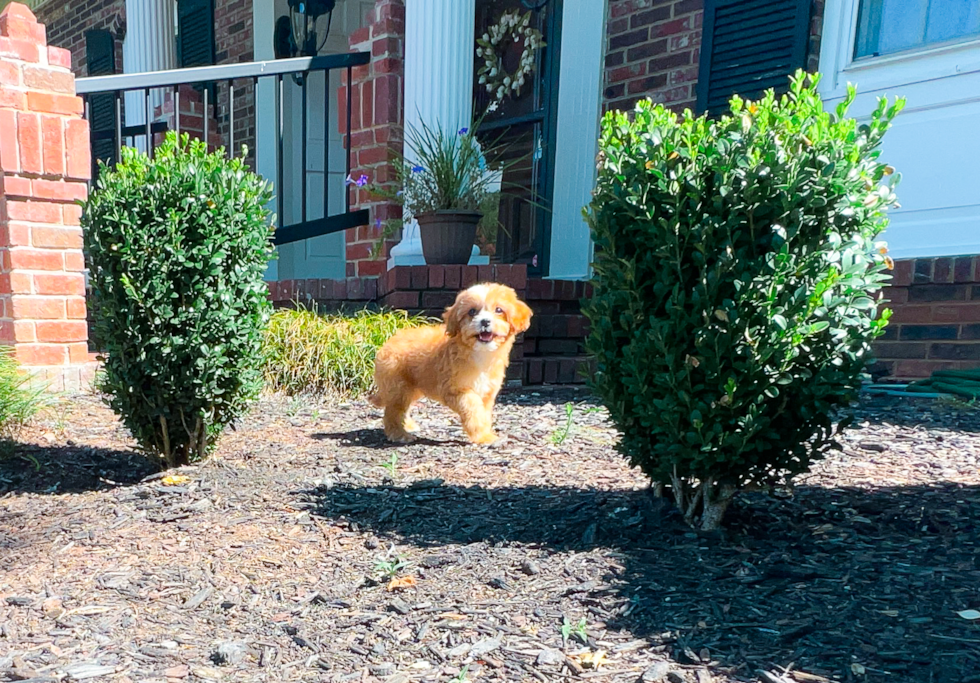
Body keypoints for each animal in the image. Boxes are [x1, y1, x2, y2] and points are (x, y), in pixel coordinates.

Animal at [370, 282, 536, 444]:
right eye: (472, 312)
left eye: (499, 310)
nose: (484, 321)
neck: (479, 352)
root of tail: (390, 340)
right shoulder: (455, 389)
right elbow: (473, 407)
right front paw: (484, 437)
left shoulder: (487, 392)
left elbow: (484, 412)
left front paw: (484, 433)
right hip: (398, 387)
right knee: (393, 411)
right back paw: (399, 434)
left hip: (412, 387)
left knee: (403, 408)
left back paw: (408, 425)